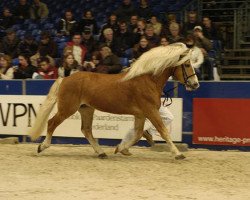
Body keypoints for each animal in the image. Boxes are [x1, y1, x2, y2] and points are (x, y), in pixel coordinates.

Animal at [28, 42, 199, 159]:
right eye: (187, 64)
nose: (195, 84)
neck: (147, 79)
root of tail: (65, 79)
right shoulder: (151, 111)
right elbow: (163, 131)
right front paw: (178, 154)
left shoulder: (141, 114)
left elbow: (138, 134)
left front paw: (120, 149)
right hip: (67, 109)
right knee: (52, 123)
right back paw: (42, 146)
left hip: (86, 109)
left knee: (86, 130)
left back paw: (101, 152)